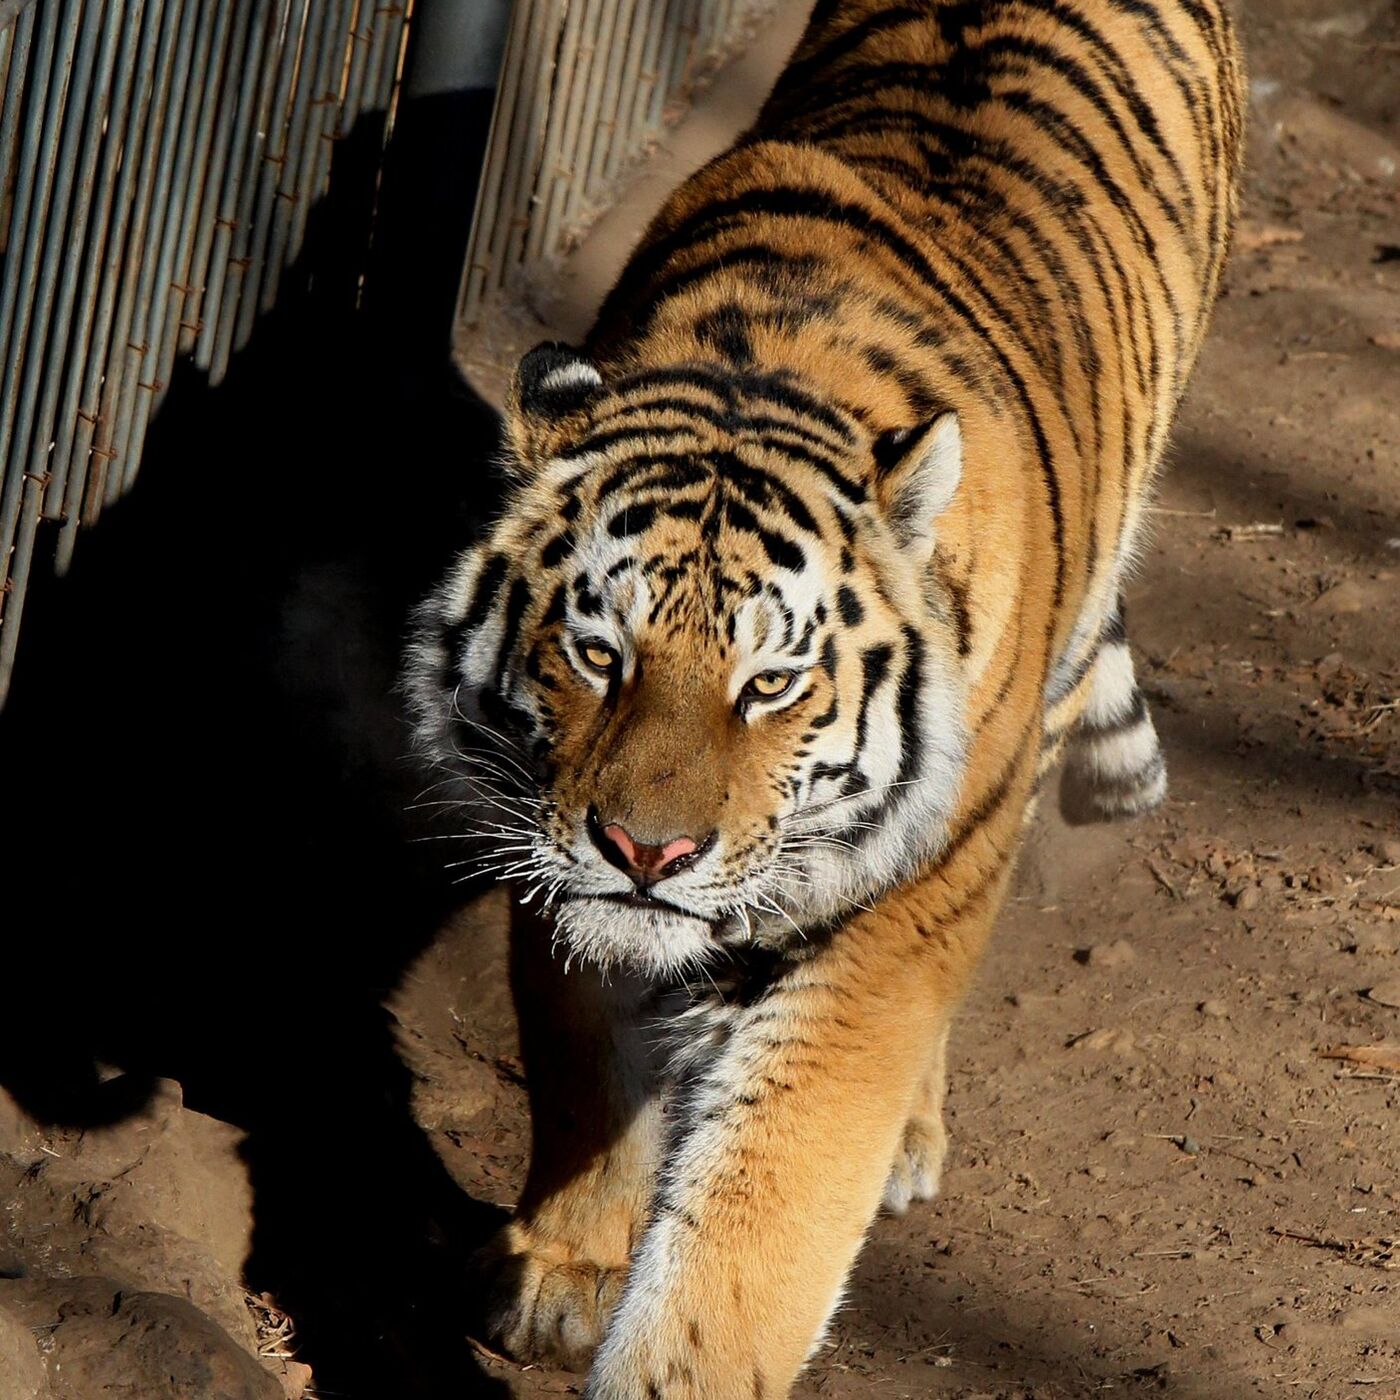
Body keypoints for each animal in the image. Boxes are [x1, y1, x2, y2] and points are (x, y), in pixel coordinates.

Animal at [406, 2, 1248, 1388]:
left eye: (772, 683)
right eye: (600, 653)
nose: (647, 849)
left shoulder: (884, 928)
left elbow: (760, 1216)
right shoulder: (545, 829)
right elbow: (581, 1054)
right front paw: (563, 1262)